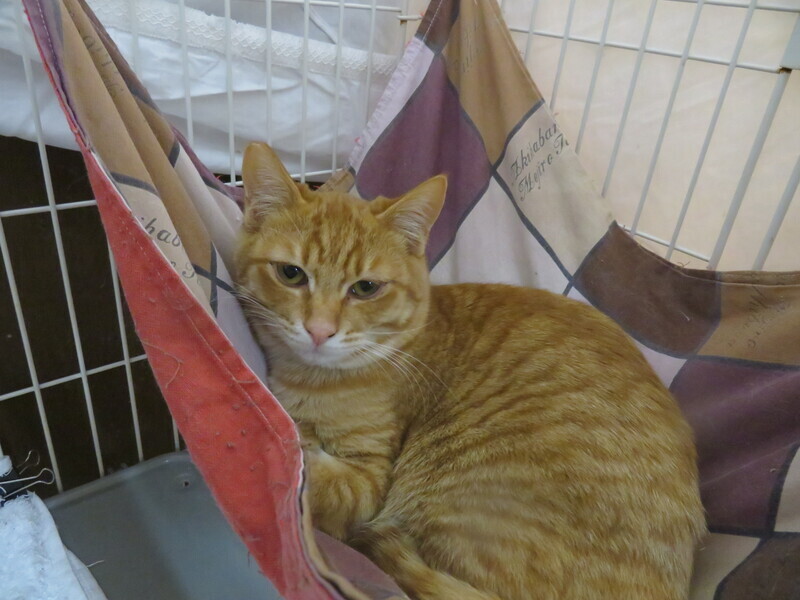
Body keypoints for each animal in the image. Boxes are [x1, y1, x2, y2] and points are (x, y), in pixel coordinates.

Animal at [234, 142, 706, 600]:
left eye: (366, 288)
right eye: (291, 274)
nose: (319, 331)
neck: (310, 381)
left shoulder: (368, 478)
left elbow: (315, 474)